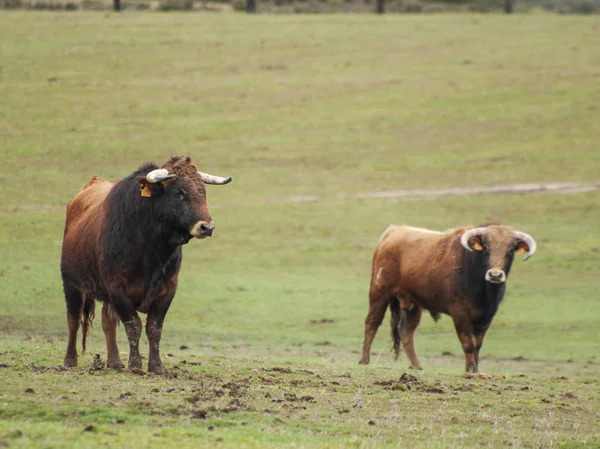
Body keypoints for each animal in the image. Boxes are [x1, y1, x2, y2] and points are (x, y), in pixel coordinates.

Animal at [59, 156, 231, 372]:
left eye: (203, 191)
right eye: (179, 192)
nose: (207, 227)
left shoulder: (167, 290)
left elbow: (153, 328)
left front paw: (156, 366)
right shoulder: (117, 289)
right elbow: (134, 325)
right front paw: (135, 365)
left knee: (108, 322)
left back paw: (115, 362)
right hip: (71, 284)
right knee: (73, 319)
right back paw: (70, 360)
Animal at [358, 222, 536, 372]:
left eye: (510, 249)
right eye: (486, 247)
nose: (495, 275)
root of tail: (392, 232)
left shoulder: (486, 317)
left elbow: (478, 345)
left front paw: (476, 370)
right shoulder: (460, 313)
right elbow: (469, 343)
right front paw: (469, 370)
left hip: (413, 305)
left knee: (406, 331)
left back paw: (416, 366)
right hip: (379, 293)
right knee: (372, 323)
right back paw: (364, 360)